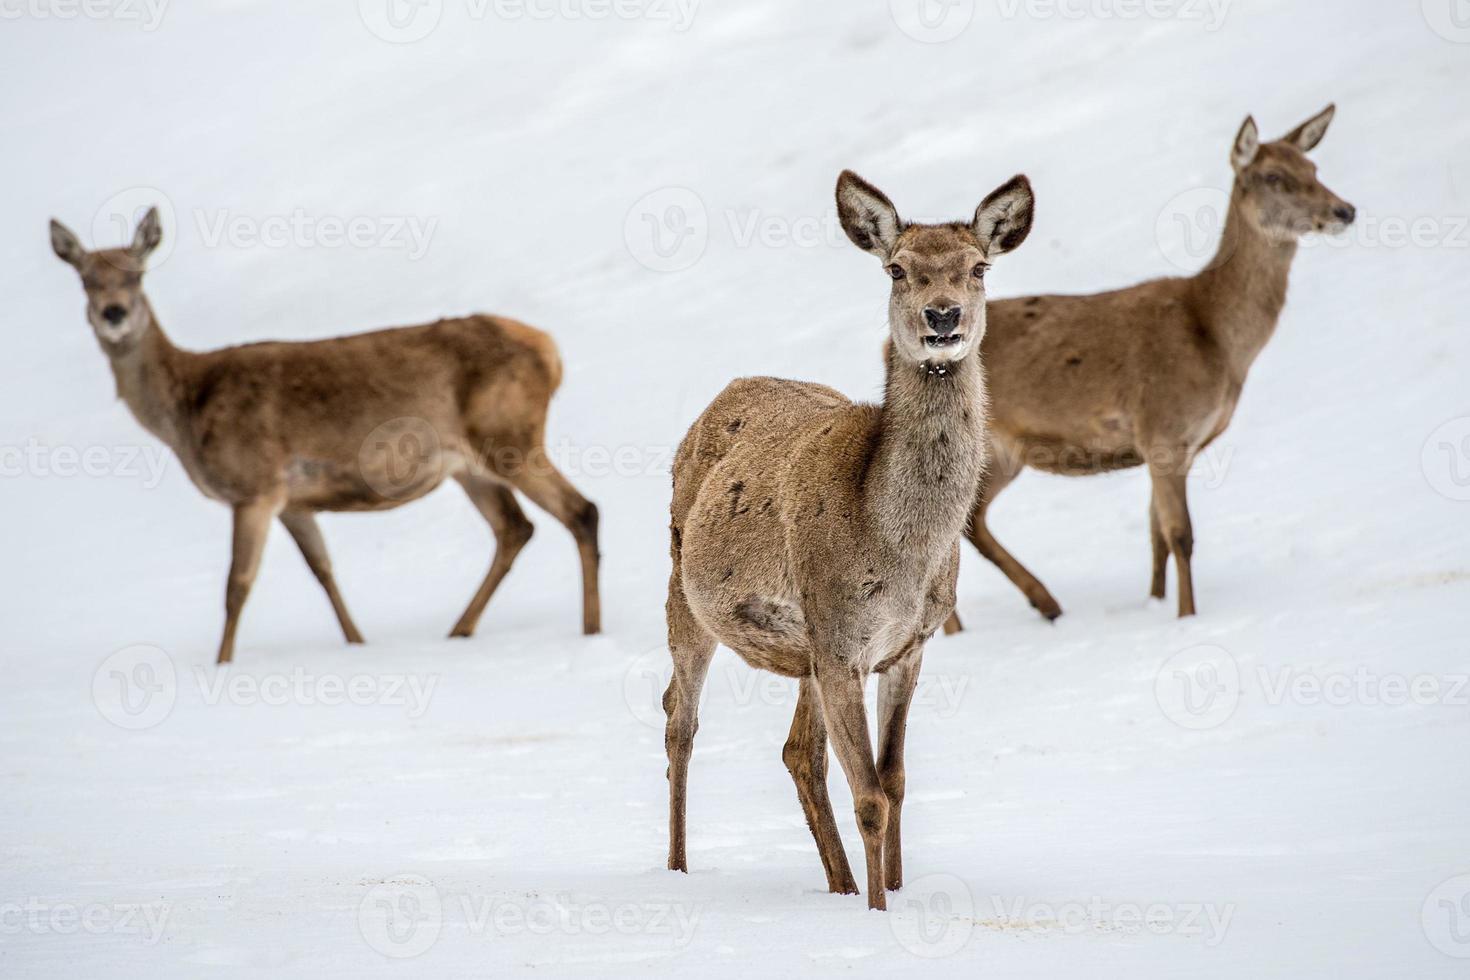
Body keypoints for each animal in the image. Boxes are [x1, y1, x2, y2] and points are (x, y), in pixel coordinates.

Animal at [50, 207, 602, 667]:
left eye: (136, 274)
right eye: (85, 280)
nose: (114, 313)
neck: (186, 409)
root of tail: (550, 350)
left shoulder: (255, 486)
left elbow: (236, 585)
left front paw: (221, 665)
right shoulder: (295, 501)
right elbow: (323, 570)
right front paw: (356, 643)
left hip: (510, 436)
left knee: (580, 511)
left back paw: (589, 631)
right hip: (469, 466)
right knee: (515, 528)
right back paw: (459, 631)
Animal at [667, 168, 1034, 910]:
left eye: (979, 267)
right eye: (897, 269)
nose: (943, 317)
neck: (902, 551)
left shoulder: (906, 647)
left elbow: (895, 782)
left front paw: (890, 889)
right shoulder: (840, 641)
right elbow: (869, 796)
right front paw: (875, 908)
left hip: (805, 650)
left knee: (797, 752)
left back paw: (835, 884)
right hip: (684, 594)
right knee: (678, 721)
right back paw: (678, 870)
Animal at [952, 105, 1352, 628]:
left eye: (1314, 168)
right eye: (1273, 176)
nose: (1345, 210)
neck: (1216, 340)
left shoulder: (1173, 443)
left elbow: (1156, 534)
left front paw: (1155, 602)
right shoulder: (1164, 425)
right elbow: (1182, 534)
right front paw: (1187, 616)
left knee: (969, 523)